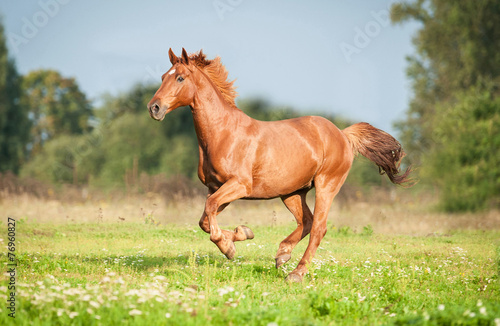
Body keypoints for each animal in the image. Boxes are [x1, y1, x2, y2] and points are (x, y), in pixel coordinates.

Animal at [146, 48, 412, 282]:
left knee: (319, 227)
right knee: (306, 221)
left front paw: (228, 247)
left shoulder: (239, 185)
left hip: (326, 185)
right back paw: (282, 254)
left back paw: (296, 273)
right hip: (292, 193)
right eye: (163, 76)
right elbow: (204, 219)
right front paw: (242, 235)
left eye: (180, 77)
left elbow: (210, 210)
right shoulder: (217, 187)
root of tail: (342, 135)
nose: (154, 108)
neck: (222, 134)